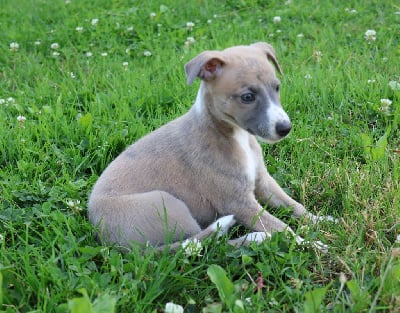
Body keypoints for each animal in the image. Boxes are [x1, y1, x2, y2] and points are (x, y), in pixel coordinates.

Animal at [88, 42, 334, 251]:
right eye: (247, 96)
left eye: (277, 87)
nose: (285, 128)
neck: (234, 136)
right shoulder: (239, 203)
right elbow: (283, 228)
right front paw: (312, 245)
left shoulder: (262, 181)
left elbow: (293, 205)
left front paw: (319, 219)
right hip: (168, 206)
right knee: (206, 245)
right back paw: (256, 238)